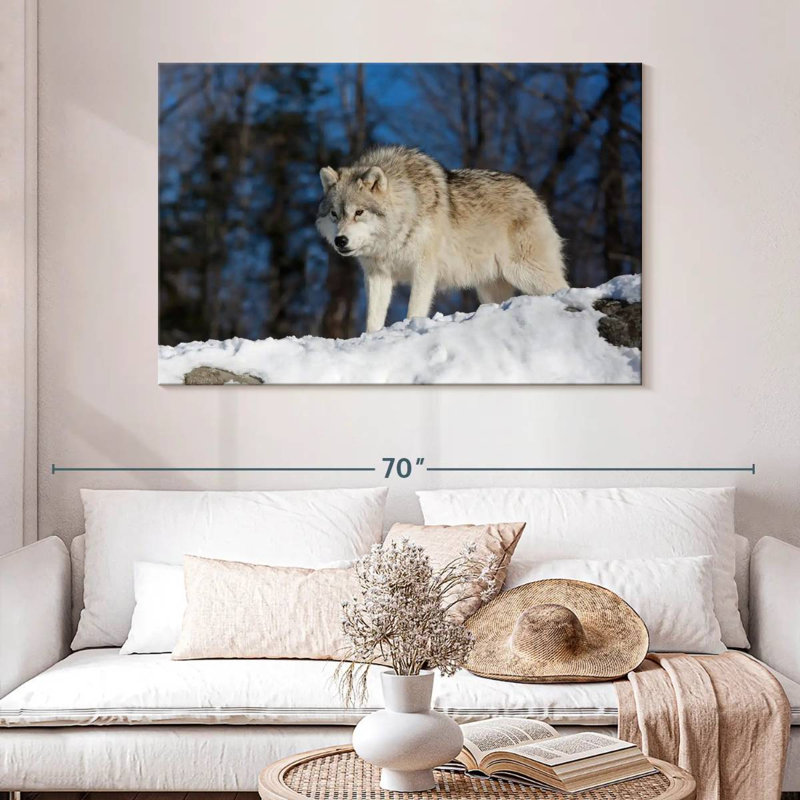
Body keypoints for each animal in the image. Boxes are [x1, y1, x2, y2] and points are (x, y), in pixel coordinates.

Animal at [316, 145, 567, 334]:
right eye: (334, 214)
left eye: (358, 213)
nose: (340, 241)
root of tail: (530, 191)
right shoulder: (378, 275)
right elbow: (373, 320)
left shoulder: (424, 269)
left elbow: (415, 309)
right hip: (490, 287)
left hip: (526, 273)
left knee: (562, 286)